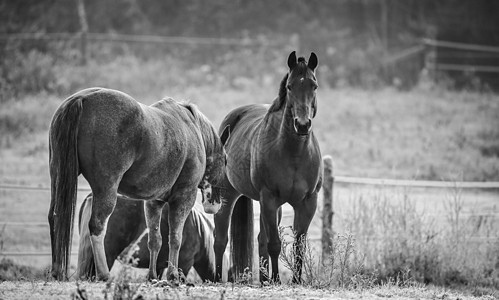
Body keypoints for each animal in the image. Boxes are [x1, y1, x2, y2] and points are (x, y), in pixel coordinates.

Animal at [48, 88, 229, 282]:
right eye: (225, 160)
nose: (215, 205)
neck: (192, 129)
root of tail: (82, 98)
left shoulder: (153, 202)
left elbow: (155, 240)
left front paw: (152, 276)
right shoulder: (184, 197)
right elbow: (175, 238)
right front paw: (173, 275)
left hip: (58, 178)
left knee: (55, 217)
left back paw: (56, 271)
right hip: (106, 190)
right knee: (97, 226)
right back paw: (104, 274)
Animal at [213, 51, 322, 284]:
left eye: (314, 85)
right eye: (289, 86)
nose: (302, 125)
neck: (294, 153)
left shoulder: (308, 202)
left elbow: (298, 245)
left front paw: (296, 280)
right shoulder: (269, 198)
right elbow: (274, 244)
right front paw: (278, 280)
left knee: (260, 239)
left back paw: (264, 280)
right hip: (228, 196)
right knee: (220, 239)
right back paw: (217, 278)